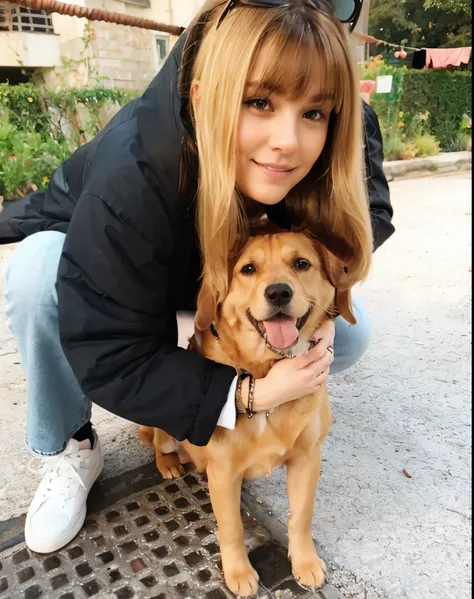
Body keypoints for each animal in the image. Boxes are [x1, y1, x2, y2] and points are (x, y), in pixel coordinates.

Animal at [140, 230, 356, 596]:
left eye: (301, 263)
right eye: (248, 269)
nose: (279, 291)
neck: (265, 372)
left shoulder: (307, 459)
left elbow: (301, 516)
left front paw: (305, 562)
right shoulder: (224, 473)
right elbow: (232, 528)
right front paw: (239, 572)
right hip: (166, 431)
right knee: (158, 444)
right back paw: (169, 463)